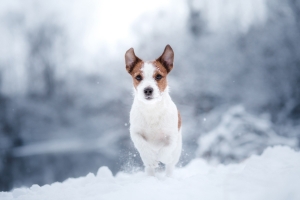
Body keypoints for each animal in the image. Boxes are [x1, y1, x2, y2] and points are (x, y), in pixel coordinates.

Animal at [123, 44, 182, 176]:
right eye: (138, 77)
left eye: (158, 76)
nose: (148, 90)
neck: (152, 109)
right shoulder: (135, 132)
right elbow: (142, 145)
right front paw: (151, 159)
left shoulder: (172, 136)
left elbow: (166, 150)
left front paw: (163, 157)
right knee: (149, 167)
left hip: (178, 148)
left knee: (170, 165)